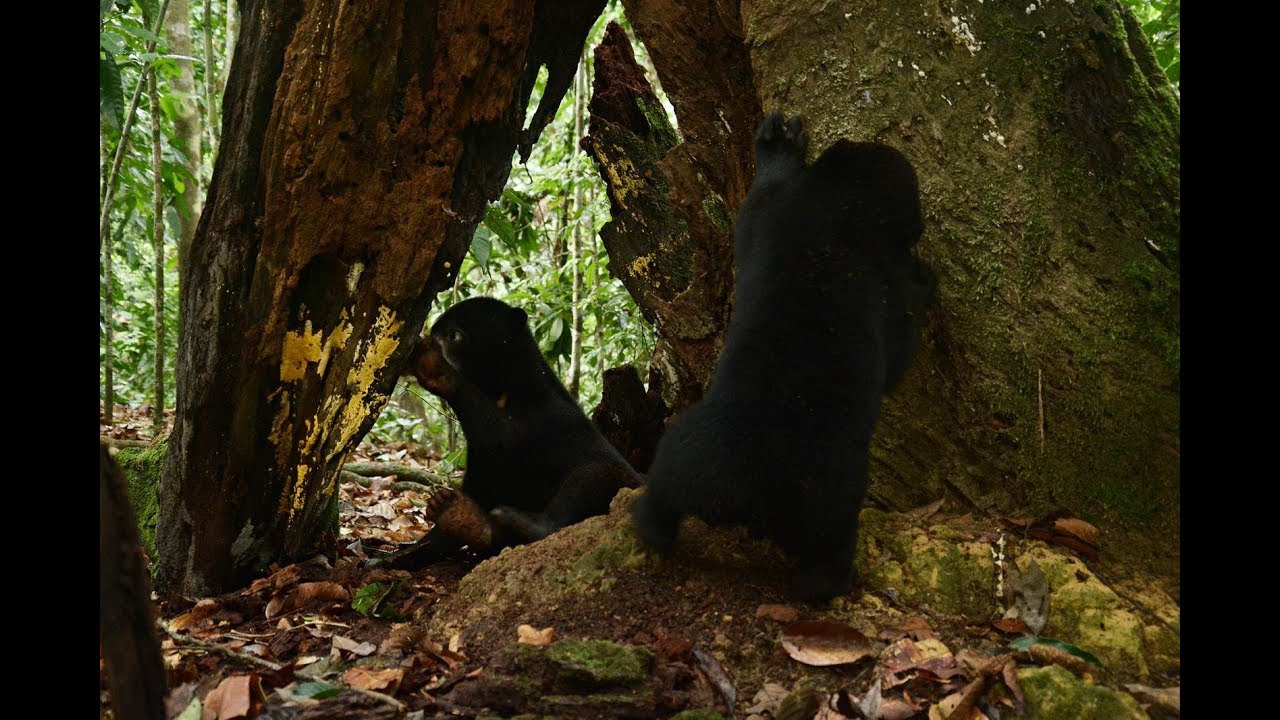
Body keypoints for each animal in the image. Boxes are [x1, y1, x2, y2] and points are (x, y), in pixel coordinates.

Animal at [378, 297, 642, 569]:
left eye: (454, 335)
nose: (417, 346)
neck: (501, 387)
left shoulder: (541, 415)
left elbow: (504, 440)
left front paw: (433, 367)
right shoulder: (481, 461)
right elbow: (480, 481)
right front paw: (395, 555)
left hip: (625, 484)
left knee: (593, 475)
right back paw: (460, 516)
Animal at [630, 112, 934, 601]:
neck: (837, 210)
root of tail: (748, 494)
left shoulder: (765, 215)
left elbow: (760, 196)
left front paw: (777, 145)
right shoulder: (889, 290)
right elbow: (902, 346)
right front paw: (926, 280)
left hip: (685, 449)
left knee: (662, 496)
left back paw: (647, 528)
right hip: (830, 498)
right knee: (827, 550)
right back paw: (831, 583)